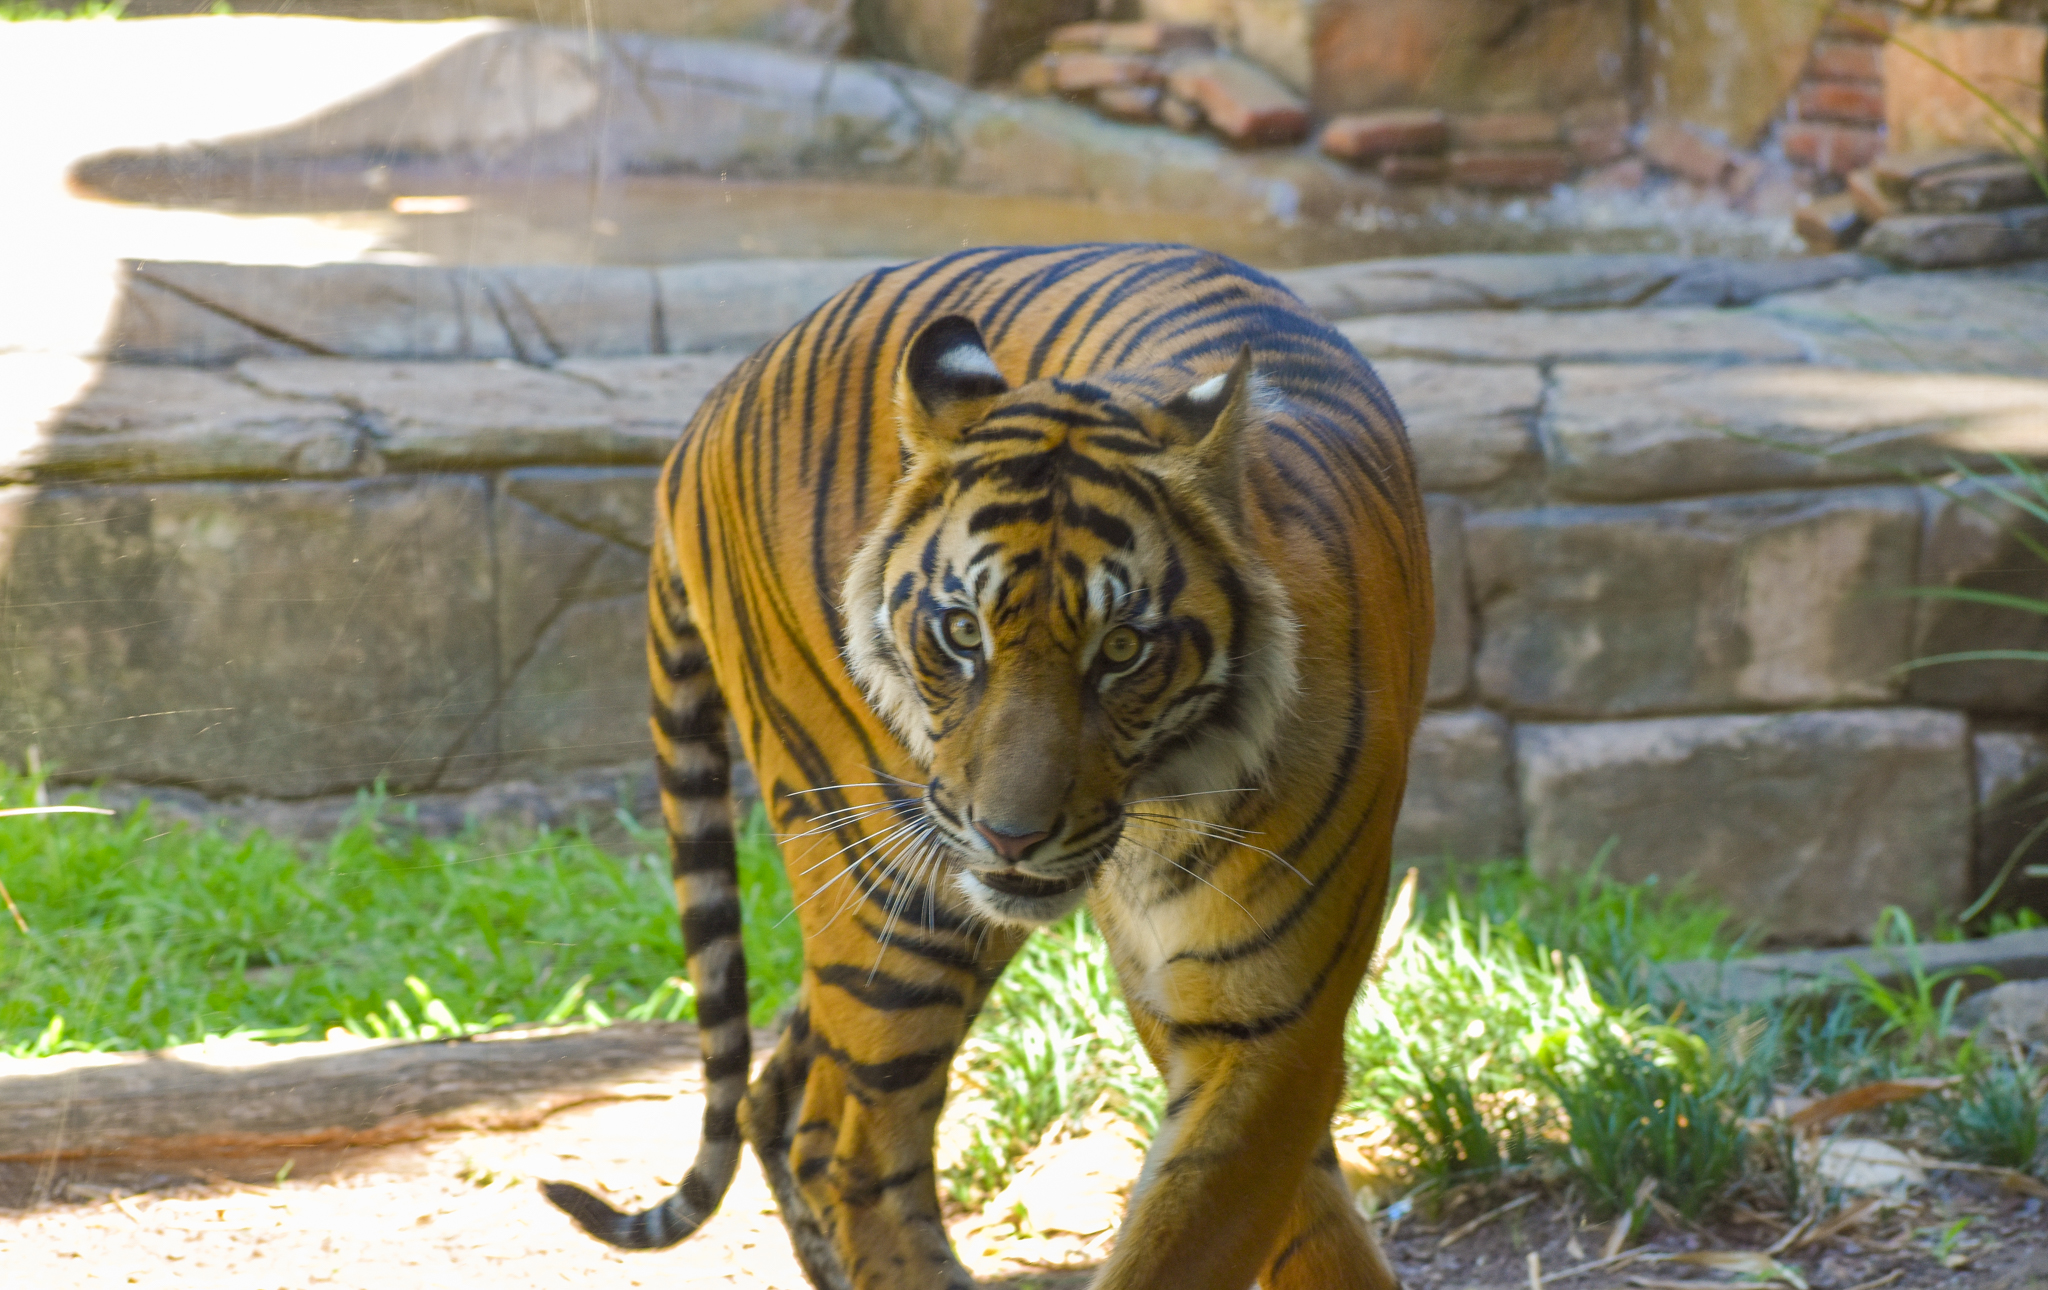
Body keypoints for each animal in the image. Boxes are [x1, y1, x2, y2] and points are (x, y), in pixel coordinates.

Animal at [542, 243, 1432, 1290]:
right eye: (963, 633)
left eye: (1122, 649)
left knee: (786, 1100)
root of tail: (707, 410)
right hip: (892, 876)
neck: (1168, 798)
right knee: (853, 1151)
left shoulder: (1265, 1022)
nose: (1011, 835)